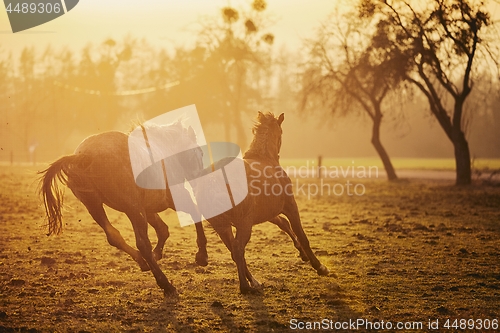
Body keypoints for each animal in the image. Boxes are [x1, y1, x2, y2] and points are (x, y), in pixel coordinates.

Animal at [38, 120, 207, 294]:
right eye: (200, 152)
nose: (200, 175)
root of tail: (84, 156)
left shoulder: (147, 208)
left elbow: (163, 229)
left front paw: (158, 253)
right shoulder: (173, 198)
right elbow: (195, 213)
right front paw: (202, 255)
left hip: (95, 206)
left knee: (114, 236)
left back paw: (142, 261)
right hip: (132, 209)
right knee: (142, 243)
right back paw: (165, 284)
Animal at [196, 112, 332, 294]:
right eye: (281, 132)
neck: (265, 158)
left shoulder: (268, 212)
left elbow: (284, 224)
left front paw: (303, 255)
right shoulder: (290, 206)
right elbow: (301, 234)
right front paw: (319, 266)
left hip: (222, 225)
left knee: (234, 251)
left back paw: (254, 282)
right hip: (243, 224)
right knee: (238, 249)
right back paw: (246, 286)